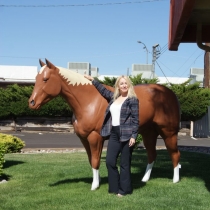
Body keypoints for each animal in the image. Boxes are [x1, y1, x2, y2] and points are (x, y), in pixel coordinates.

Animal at [28, 58, 181, 190]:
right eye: (36, 79)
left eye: (45, 79)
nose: (32, 103)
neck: (89, 101)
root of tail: (169, 93)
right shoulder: (84, 139)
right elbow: (91, 160)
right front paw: (98, 180)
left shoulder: (95, 137)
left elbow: (96, 160)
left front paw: (94, 185)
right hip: (148, 133)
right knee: (152, 154)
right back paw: (145, 179)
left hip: (168, 132)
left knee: (175, 154)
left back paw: (175, 180)